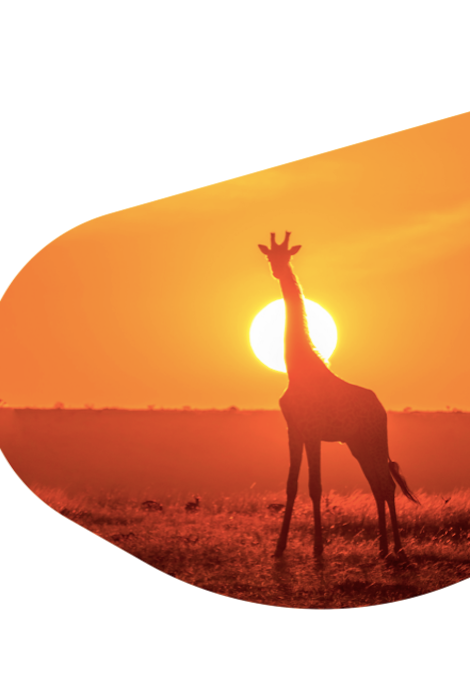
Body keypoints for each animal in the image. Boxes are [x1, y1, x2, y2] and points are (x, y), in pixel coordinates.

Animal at [258, 231, 419, 560]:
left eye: (287, 256)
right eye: (270, 256)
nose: (278, 271)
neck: (297, 369)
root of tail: (381, 409)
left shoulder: (313, 433)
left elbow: (315, 486)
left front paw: (319, 548)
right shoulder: (294, 431)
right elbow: (291, 485)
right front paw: (279, 548)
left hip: (373, 440)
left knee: (386, 484)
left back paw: (397, 549)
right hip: (358, 444)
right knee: (378, 485)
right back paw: (383, 548)